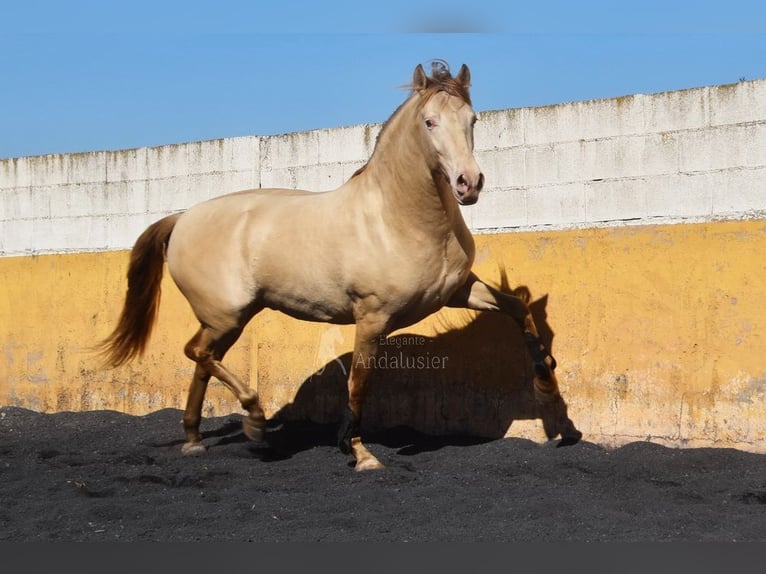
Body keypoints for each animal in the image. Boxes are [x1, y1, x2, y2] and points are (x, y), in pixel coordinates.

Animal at [99, 60, 584, 470]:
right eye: (429, 122)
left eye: (473, 120)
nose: (469, 184)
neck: (396, 218)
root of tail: (182, 218)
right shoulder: (371, 317)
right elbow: (359, 382)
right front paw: (360, 454)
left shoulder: (458, 290)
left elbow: (517, 309)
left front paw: (551, 398)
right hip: (226, 315)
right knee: (196, 353)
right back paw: (255, 420)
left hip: (228, 319)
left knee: (203, 360)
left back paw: (195, 440)